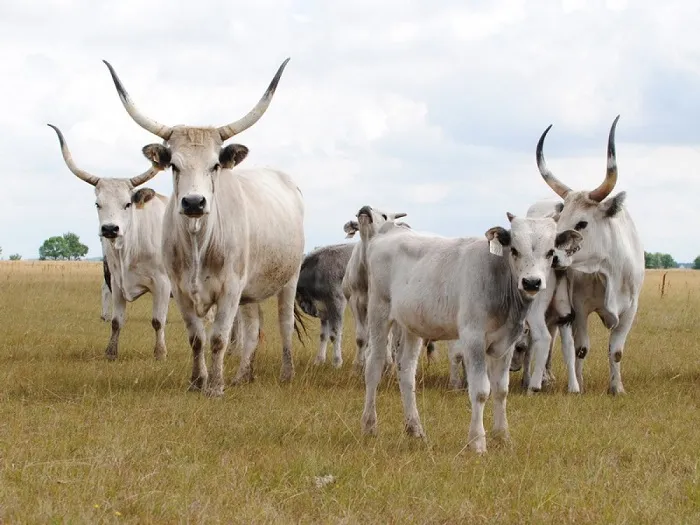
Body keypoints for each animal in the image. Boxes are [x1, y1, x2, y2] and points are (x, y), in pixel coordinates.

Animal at [47, 123, 170, 360]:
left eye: (127, 204)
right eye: (98, 204)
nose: (110, 229)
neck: (130, 248)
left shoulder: (162, 283)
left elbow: (158, 321)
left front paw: (160, 354)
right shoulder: (116, 281)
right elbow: (116, 321)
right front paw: (111, 353)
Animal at [102, 57, 304, 396]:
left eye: (215, 164)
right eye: (173, 165)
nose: (194, 202)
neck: (199, 242)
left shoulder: (230, 288)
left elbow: (219, 338)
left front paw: (216, 387)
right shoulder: (180, 288)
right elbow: (197, 338)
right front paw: (198, 382)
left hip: (288, 278)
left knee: (284, 323)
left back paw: (287, 374)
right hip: (250, 290)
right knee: (252, 327)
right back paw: (243, 375)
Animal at [358, 205, 584, 450]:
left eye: (550, 252)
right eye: (514, 250)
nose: (531, 282)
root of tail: (390, 231)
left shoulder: (506, 342)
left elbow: (501, 390)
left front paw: (503, 437)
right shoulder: (473, 338)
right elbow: (481, 391)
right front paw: (477, 442)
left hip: (412, 325)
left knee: (406, 370)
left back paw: (415, 429)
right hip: (379, 313)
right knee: (374, 365)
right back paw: (369, 426)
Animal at [536, 114, 644, 392]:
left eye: (582, 223)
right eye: (559, 220)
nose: (552, 257)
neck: (608, 269)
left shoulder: (630, 310)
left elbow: (616, 351)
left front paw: (617, 388)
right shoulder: (579, 308)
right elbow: (581, 348)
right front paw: (580, 385)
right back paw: (546, 376)